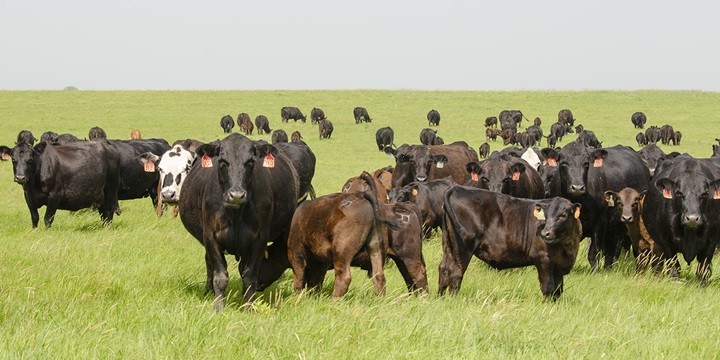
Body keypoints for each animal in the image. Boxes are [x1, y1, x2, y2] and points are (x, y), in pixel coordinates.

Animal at [181, 134, 306, 310]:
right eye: (222, 161)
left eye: (250, 161)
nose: (236, 195)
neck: (236, 214)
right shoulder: (210, 236)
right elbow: (220, 275)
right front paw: (218, 307)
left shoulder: (260, 238)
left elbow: (249, 276)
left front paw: (249, 306)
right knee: (209, 264)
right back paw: (208, 291)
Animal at [436, 187, 584, 300]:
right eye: (546, 216)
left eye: (563, 215)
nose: (545, 233)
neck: (567, 247)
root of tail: (457, 188)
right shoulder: (543, 259)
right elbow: (548, 287)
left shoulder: (559, 266)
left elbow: (558, 289)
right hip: (463, 246)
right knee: (456, 271)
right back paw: (453, 299)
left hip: (448, 244)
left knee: (444, 268)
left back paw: (441, 298)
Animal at [544, 141, 652, 270]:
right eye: (564, 163)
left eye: (586, 164)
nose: (577, 187)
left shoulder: (599, 224)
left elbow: (593, 254)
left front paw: (594, 271)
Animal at [640, 156, 720, 286]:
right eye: (679, 193)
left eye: (705, 194)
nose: (692, 218)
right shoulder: (666, 241)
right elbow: (674, 268)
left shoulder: (711, 241)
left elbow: (703, 270)